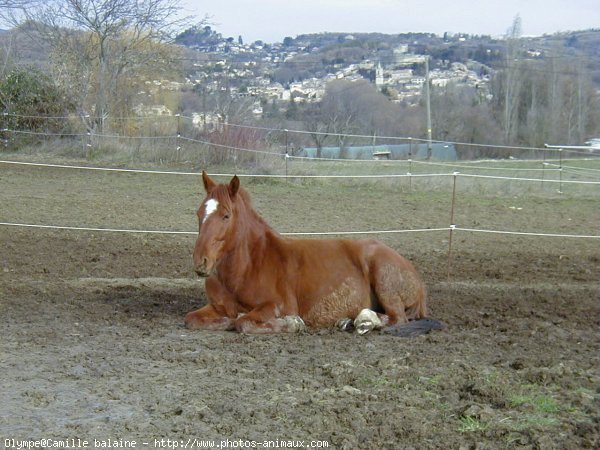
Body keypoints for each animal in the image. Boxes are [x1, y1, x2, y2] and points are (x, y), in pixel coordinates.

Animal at [185, 172, 442, 338]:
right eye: (199, 213)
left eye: (226, 215)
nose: (200, 262)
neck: (247, 267)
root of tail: (415, 276)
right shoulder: (216, 306)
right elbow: (193, 319)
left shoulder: (276, 304)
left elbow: (244, 323)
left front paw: (292, 324)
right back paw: (348, 321)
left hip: (383, 280)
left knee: (396, 318)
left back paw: (364, 321)